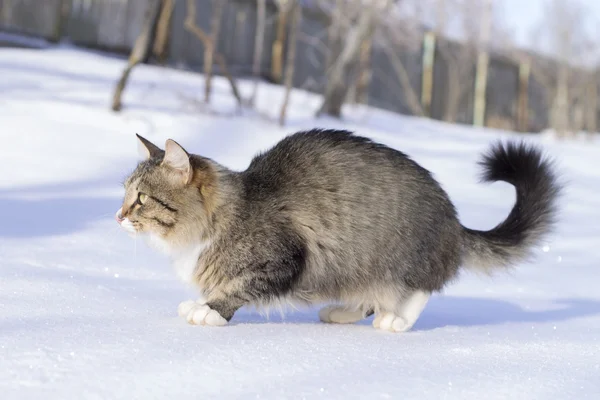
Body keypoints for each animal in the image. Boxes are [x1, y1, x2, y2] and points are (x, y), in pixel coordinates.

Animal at [115, 130, 560, 332]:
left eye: (141, 199)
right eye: (125, 194)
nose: (117, 216)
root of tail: (454, 220)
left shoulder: (283, 259)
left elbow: (237, 287)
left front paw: (209, 310)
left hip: (400, 256)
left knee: (423, 287)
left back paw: (397, 320)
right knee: (369, 297)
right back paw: (344, 311)